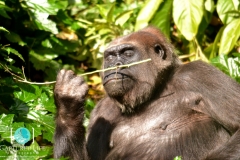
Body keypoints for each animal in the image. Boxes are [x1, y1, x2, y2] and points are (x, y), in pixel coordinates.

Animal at [53, 26, 240, 159]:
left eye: (128, 53)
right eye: (110, 57)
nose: (115, 66)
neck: (156, 89)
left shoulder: (200, 75)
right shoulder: (101, 110)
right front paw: (68, 102)